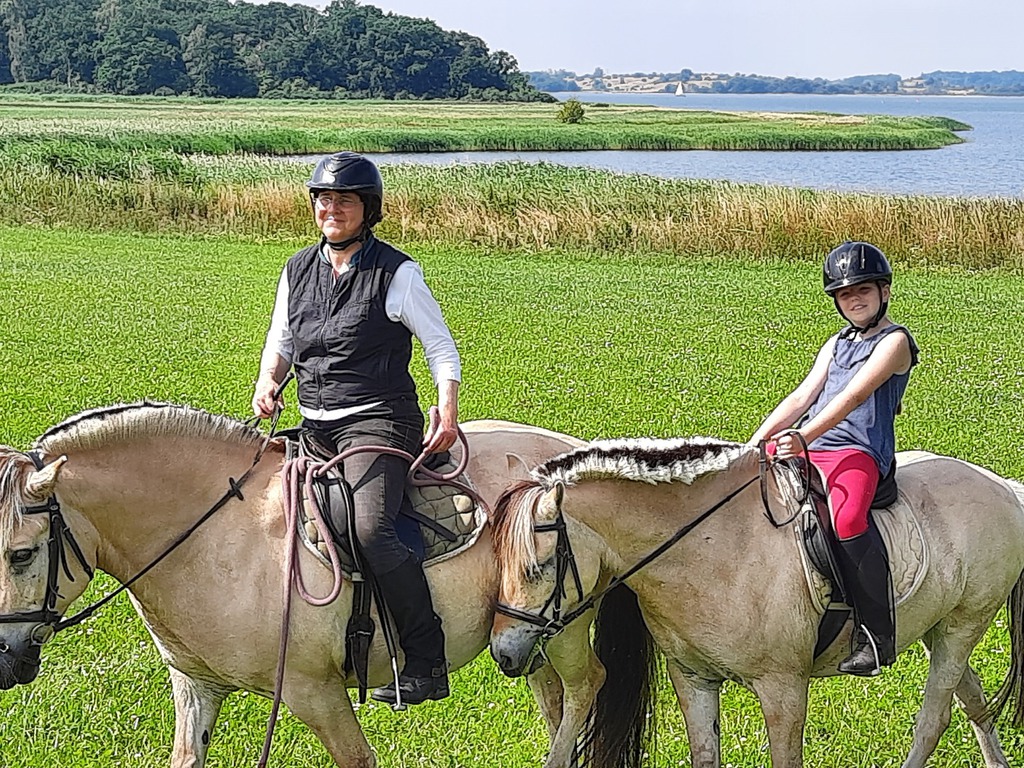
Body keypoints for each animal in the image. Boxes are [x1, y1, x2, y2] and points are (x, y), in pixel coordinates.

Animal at [0, 403, 584, 768]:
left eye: (21, 553)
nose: (5, 660)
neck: (215, 533)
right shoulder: (196, 686)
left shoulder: (315, 693)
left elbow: (357, 758)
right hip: (526, 642)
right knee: (556, 707)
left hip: (562, 632)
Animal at [489, 437, 1024, 768]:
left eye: (539, 567)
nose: (503, 653)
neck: (710, 546)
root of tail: (1003, 486)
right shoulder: (693, 678)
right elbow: (706, 755)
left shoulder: (783, 689)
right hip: (939, 628)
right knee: (973, 699)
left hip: (962, 626)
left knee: (934, 719)